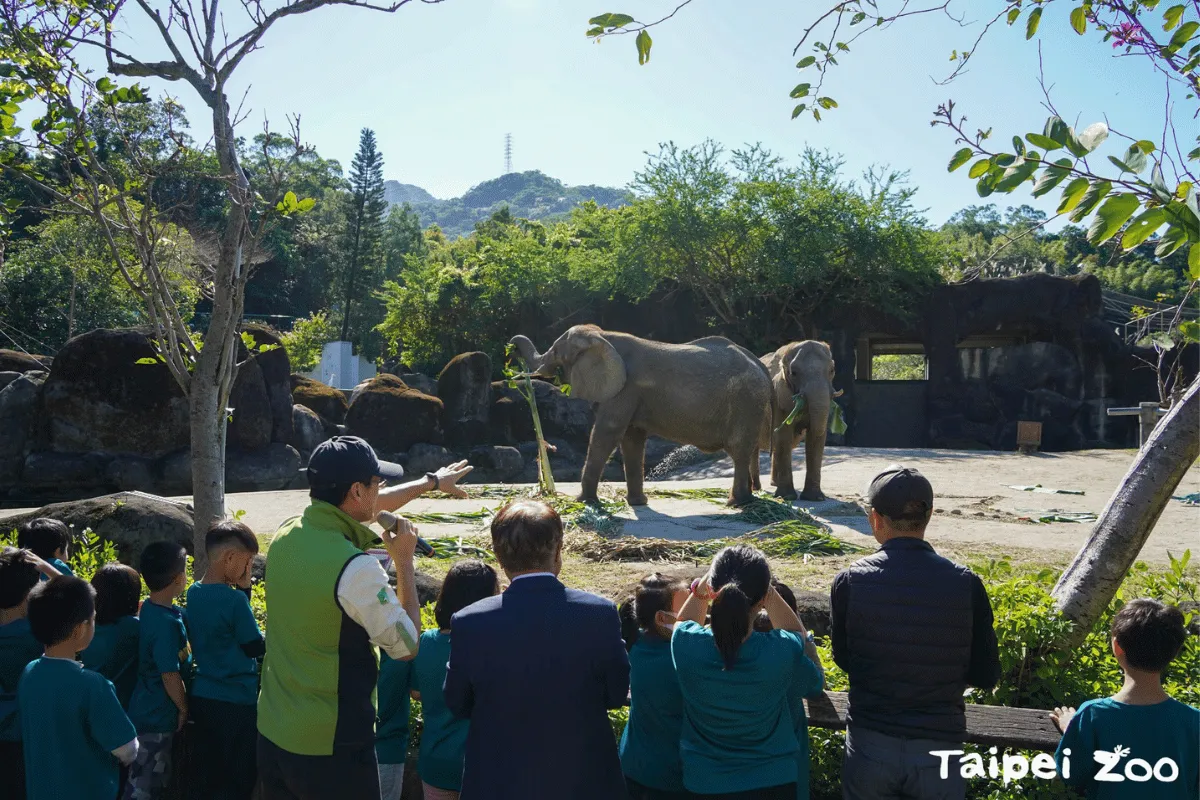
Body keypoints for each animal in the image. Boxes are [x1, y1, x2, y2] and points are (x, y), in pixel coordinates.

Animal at [511, 326, 772, 506]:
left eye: (556, 351)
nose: (511, 345)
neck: (603, 336)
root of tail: (761, 365)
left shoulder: (625, 388)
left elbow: (608, 431)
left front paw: (584, 502)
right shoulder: (632, 393)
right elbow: (632, 438)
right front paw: (636, 503)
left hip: (745, 401)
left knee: (738, 451)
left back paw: (735, 503)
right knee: (746, 451)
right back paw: (746, 500)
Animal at [763, 340, 840, 501]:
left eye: (832, 370)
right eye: (794, 373)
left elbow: (817, 439)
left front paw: (815, 498)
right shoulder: (779, 395)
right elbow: (783, 436)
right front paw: (787, 497)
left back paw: (774, 484)